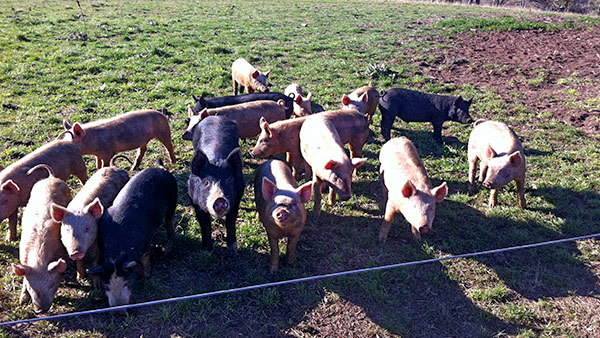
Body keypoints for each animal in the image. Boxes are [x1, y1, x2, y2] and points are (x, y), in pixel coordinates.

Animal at [11, 164, 71, 314]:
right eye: (31, 287)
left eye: (51, 285)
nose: (40, 310)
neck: (39, 260)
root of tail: (51, 177)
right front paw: (22, 301)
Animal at [86, 166, 177, 306]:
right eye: (107, 286)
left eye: (127, 282)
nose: (119, 309)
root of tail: (161, 168)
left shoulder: (146, 240)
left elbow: (145, 258)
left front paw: (146, 276)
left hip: (173, 198)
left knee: (170, 221)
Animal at [188, 116, 244, 251]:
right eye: (206, 182)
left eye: (229, 181)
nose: (219, 200)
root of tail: (216, 116)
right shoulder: (193, 199)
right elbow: (205, 224)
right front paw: (207, 249)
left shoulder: (238, 196)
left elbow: (231, 222)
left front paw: (233, 250)